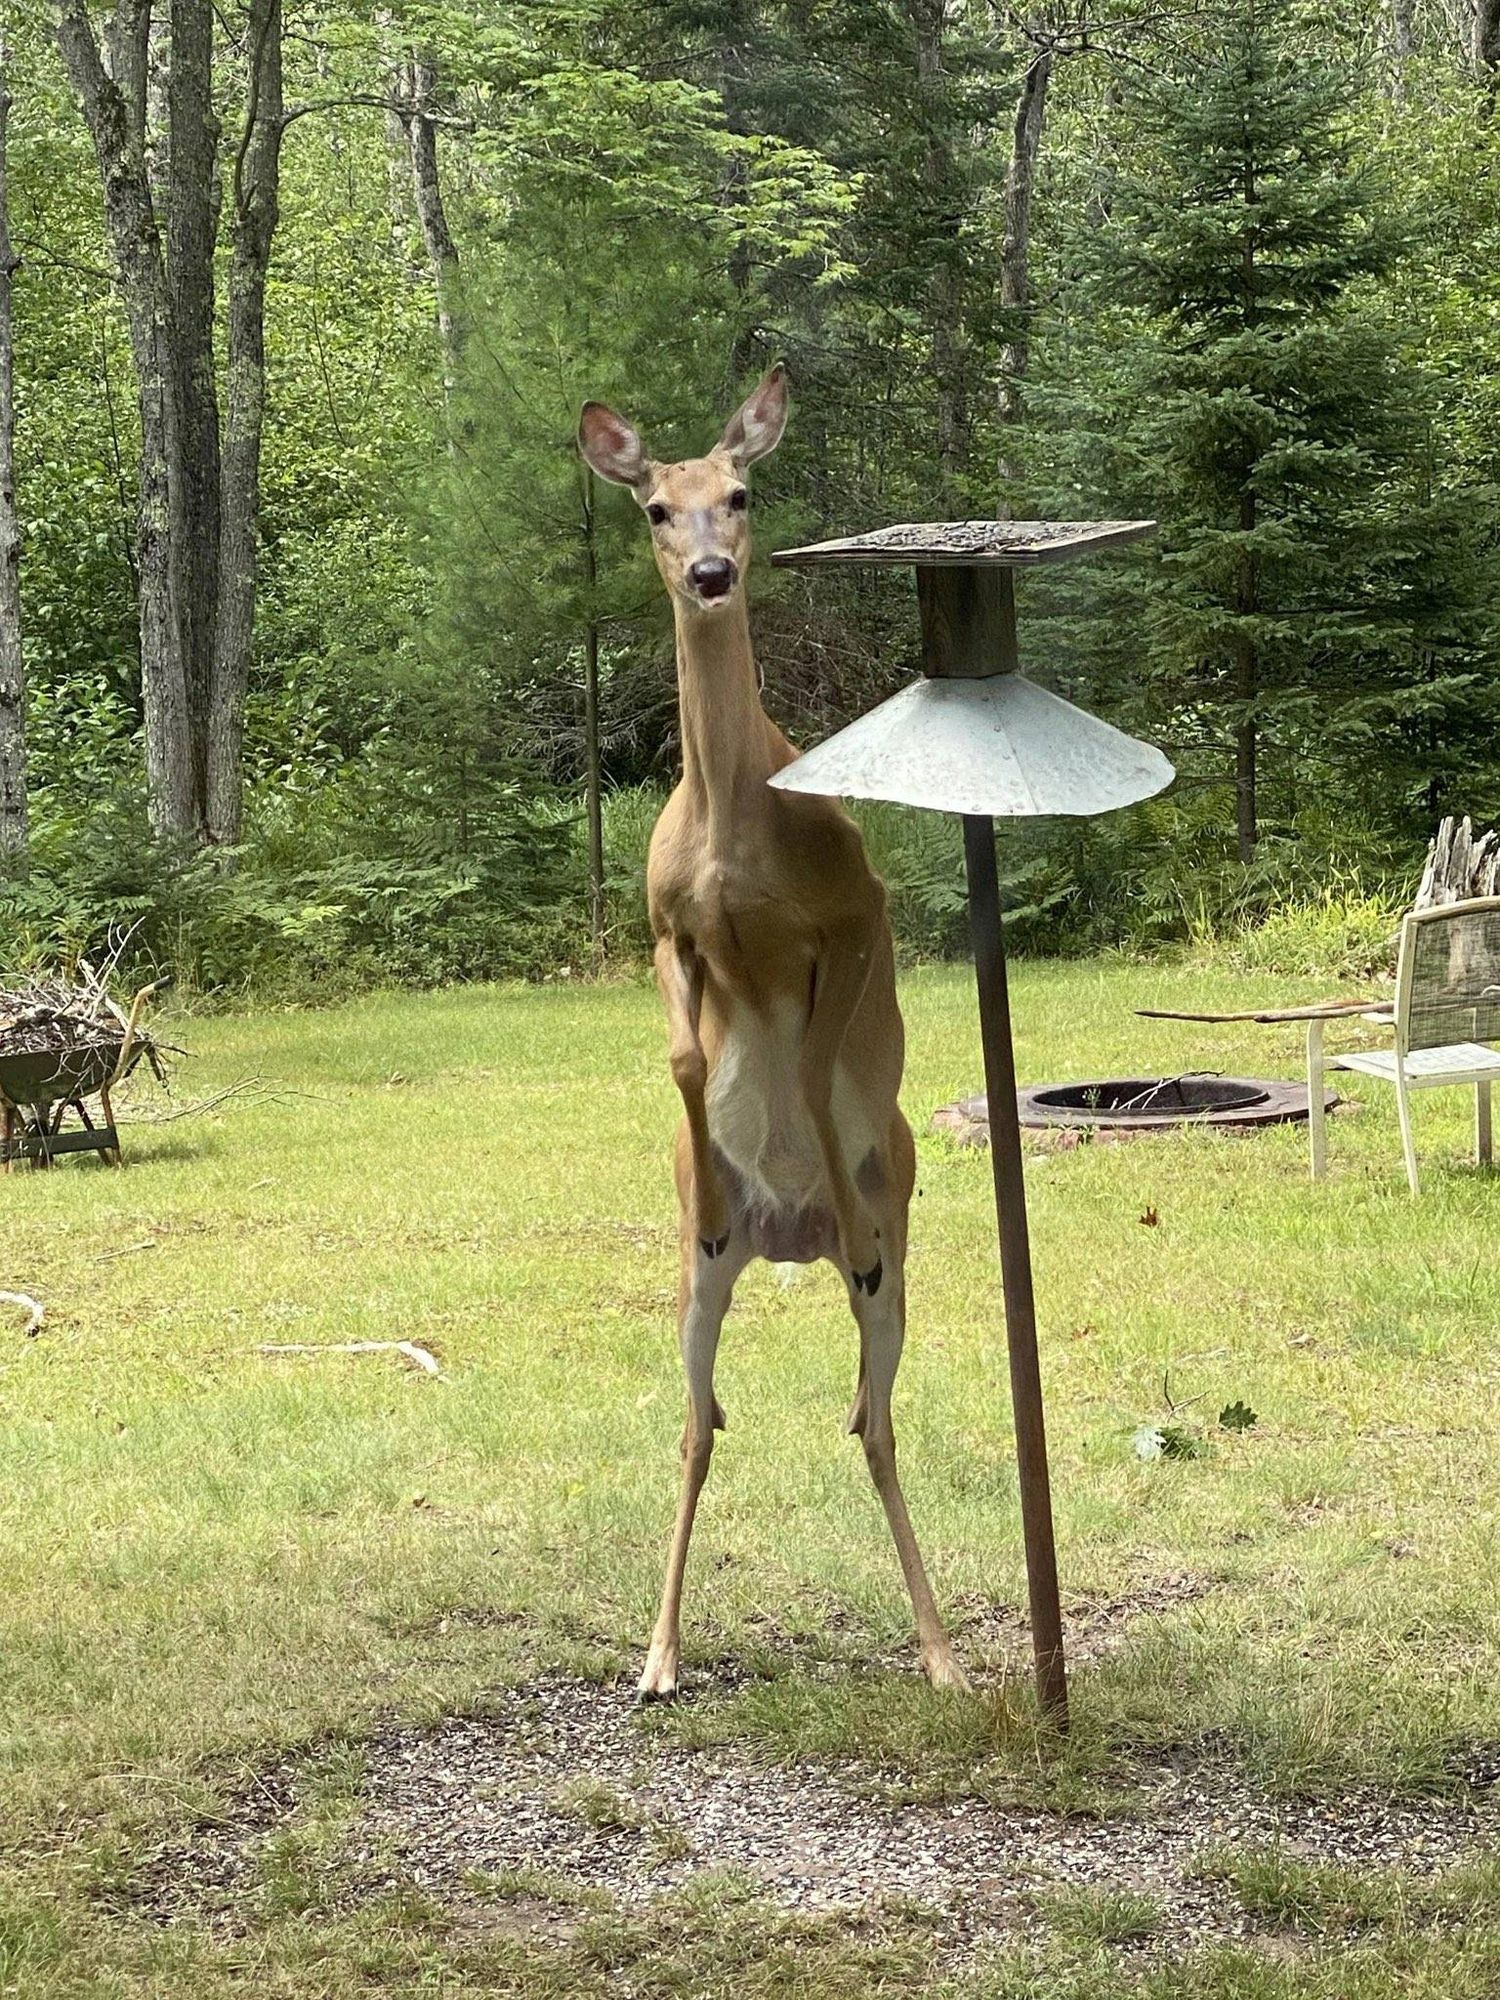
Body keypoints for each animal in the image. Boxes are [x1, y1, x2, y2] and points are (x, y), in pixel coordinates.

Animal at [580, 364, 968, 1704]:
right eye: (656, 504)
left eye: (740, 493)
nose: (709, 570)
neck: (733, 830)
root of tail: (783, 1243)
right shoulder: (660, 924)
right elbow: (690, 1055)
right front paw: (709, 1155)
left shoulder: (854, 910)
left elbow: (807, 1057)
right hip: (700, 1278)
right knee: (702, 1423)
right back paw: (657, 1654)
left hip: (899, 1249)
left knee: (875, 1415)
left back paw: (943, 1649)